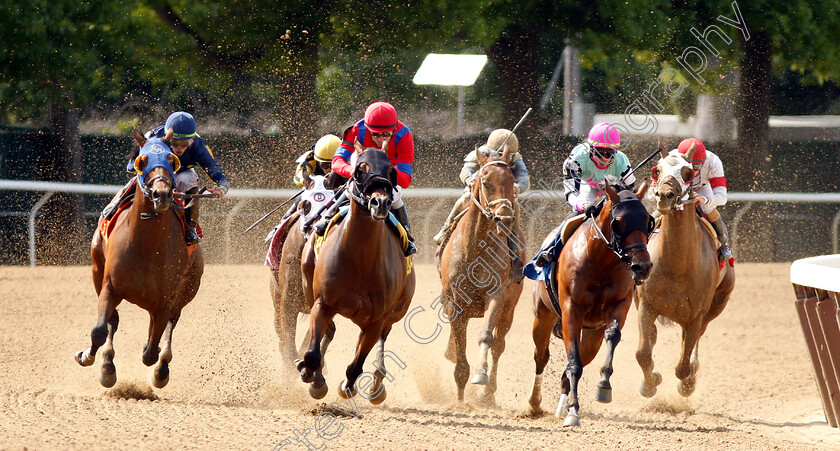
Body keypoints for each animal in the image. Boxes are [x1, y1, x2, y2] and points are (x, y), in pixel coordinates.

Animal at [75, 132, 203, 390]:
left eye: (171, 160)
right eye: (141, 161)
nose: (161, 195)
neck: (146, 246)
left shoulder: (165, 301)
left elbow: (151, 351)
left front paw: (155, 363)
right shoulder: (109, 285)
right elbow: (100, 330)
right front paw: (90, 359)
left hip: (188, 288)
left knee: (169, 326)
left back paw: (161, 370)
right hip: (97, 269)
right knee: (113, 321)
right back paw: (107, 363)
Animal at [298, 141, 416, 402]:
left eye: (391, 171)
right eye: (360, 170)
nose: (380, 203)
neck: (360, 261)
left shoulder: (376, 319)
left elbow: (356, 365)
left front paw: (348, 386)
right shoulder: (323, 302)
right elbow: (313, 353)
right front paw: (312, 376)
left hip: (396, 310)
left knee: (382, 338)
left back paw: (377, 382)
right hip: (308, 285)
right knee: (328, 332)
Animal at [440, 146, 524, 406]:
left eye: (511, 181)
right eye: (485, 182)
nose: (504, 218)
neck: (474, 248)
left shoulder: (497, 295)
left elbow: (486, 336)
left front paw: (480, 375)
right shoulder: (454, 303)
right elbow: (459, 347)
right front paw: (459, 399)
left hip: (510, 308)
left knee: (499, 345)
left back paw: (489, 394)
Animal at [524, 177, 656, 428]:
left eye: (648, 221)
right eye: (619, 222)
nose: (642, 266)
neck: (600, 262)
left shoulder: (619, 305)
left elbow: (612, 336)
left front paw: (603, 386)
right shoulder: (571, 309)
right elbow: (572, 361)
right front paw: (574, 412)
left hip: (592, 334)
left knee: (574, 365)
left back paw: (562, 405)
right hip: (542, 317)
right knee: (541, 356)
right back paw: (534, 403)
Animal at [636, 147, 736, 398]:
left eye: (687, 173)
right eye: (657, 170)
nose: (665, 195)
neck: (677, 266)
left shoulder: (695, 315)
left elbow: (682, 367)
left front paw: (688, 382)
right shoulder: (646, 305)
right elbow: (643, 352)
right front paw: (649, 383)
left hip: (718, 303)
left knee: (696, 339)